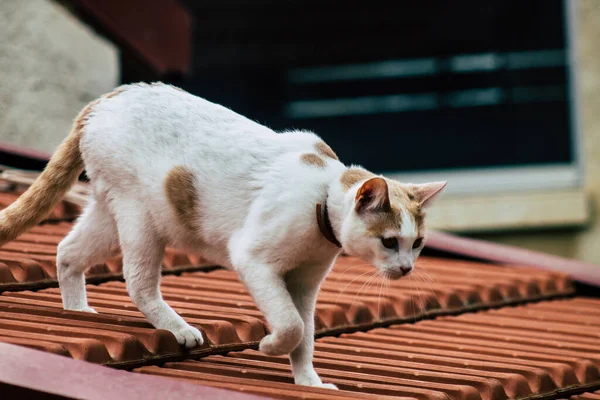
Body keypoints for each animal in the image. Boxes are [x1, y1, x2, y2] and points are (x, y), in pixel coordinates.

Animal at [0, 83, 446, 390]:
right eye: (389, 241)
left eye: (417, 244)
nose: (406, 268)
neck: (321, 194)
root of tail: (104, 100)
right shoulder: (255, 261)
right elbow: (291, 326)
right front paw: (269, 347)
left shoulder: (304, 284)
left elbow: (305, 334)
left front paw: (308, 382)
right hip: (140, 217)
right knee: (137, 283)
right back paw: (178, 328)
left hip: (111, 215)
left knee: (67, 251)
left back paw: (76, 309)